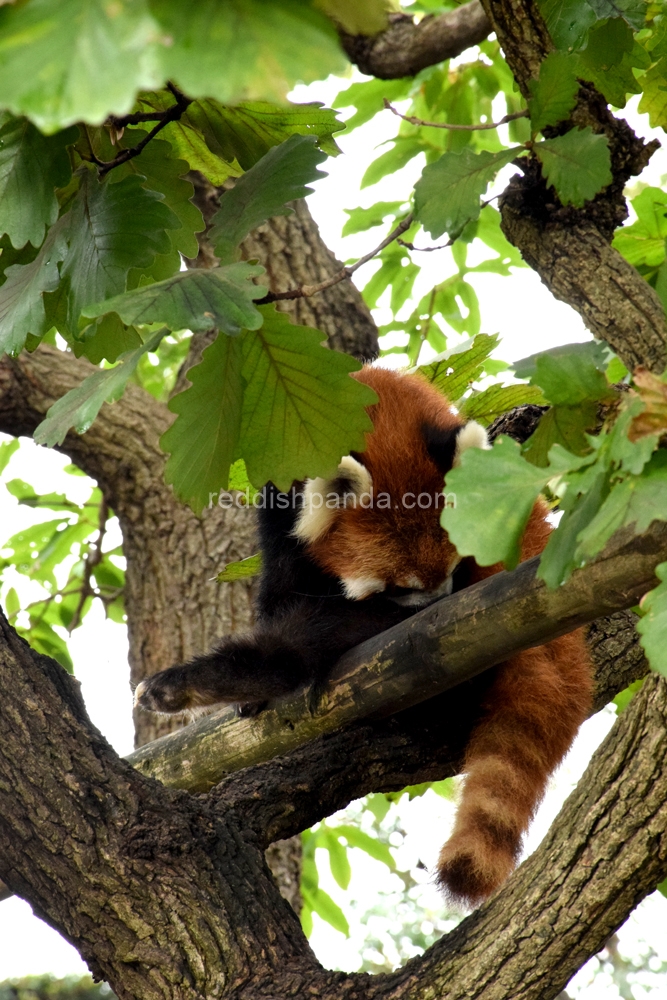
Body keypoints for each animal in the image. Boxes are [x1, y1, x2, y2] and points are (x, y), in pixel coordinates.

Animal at [134, 366, 588, 908]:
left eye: (454, 572)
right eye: (399, 585)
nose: (435, 610)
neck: (381, 413)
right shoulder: (280, 499)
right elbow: (283, 582)